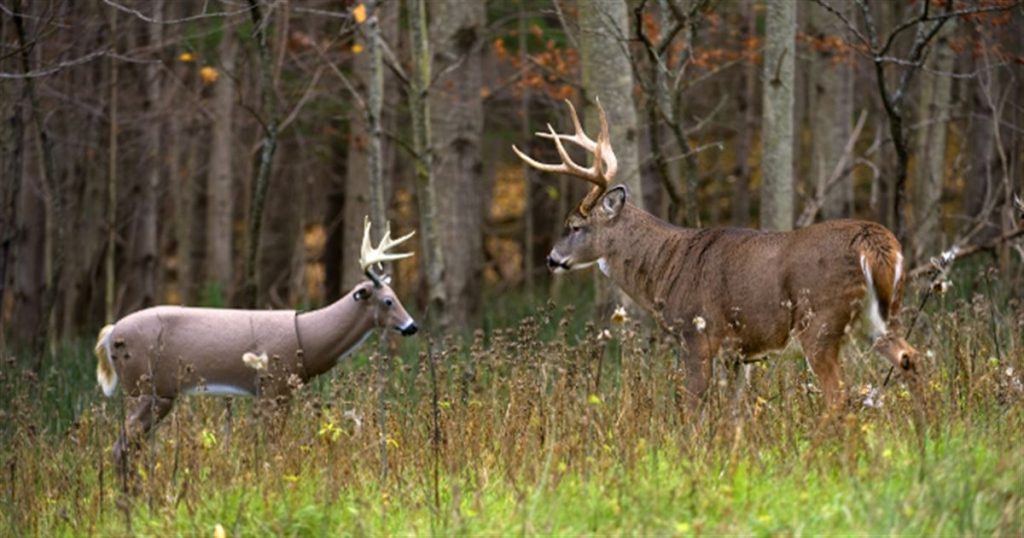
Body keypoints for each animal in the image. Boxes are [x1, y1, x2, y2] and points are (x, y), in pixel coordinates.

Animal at [94, 217, 418, 465]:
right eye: (388, 301)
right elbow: (271, 448)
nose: (412, 326)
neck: (307, 339)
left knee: (127, 447)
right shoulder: (273, 387)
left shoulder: (277, 393)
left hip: (156, 392)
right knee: (120, 447)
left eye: (397, 297)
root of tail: (109, 336)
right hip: (146, 387)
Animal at [514, 99, 919, 411]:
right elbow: (733, 413)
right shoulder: (740, 353)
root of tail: (875, 241)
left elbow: (695, 406)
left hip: (820, 321)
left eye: (574, 225)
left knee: (838, 396)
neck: (665, 267)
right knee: (909, 358)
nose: (551, 258)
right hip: (883, 315)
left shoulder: (697, 334)